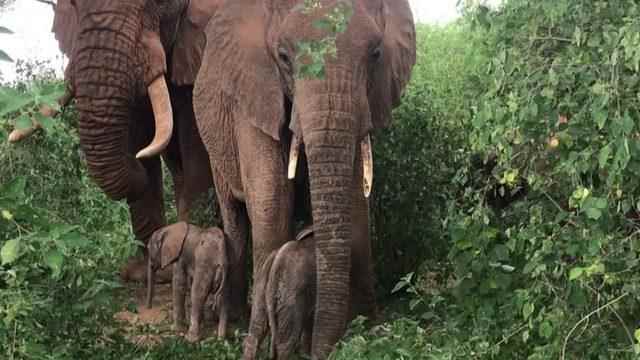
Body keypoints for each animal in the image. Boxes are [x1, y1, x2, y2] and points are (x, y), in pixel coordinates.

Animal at [6, 0, 222, 280]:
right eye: (73, 4)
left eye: (160, 3)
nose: (136, 160)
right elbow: (138, 128)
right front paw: (145, 272)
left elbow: (196, 141)